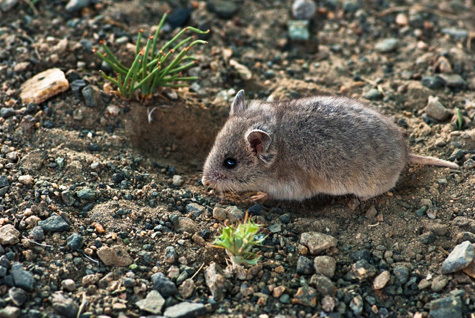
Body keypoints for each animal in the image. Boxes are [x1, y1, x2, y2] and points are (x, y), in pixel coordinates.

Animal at [202, 89, 462, 201]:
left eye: (230, 163)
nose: (204, 182)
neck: (278, 152)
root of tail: (406, 154)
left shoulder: (290, 188)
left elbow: (268, 196)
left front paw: (254, 197)